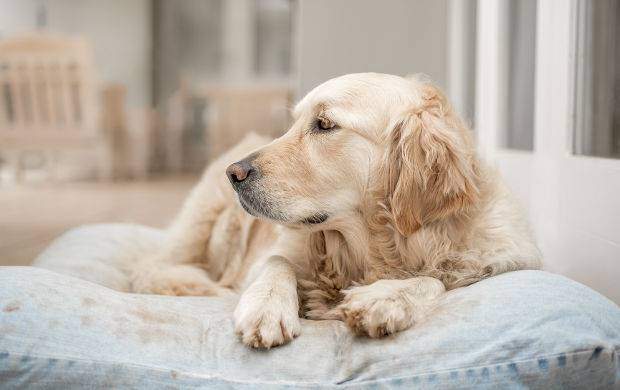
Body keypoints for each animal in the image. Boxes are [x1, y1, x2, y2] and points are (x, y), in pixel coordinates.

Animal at [132, 72, 544, 348]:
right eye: (293, 123)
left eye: (325, 124)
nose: (235, 173)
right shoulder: (275, 252)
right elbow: (276, 262)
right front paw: (266, 308)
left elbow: (436, 278)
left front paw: (384, 298)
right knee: (156, 269)